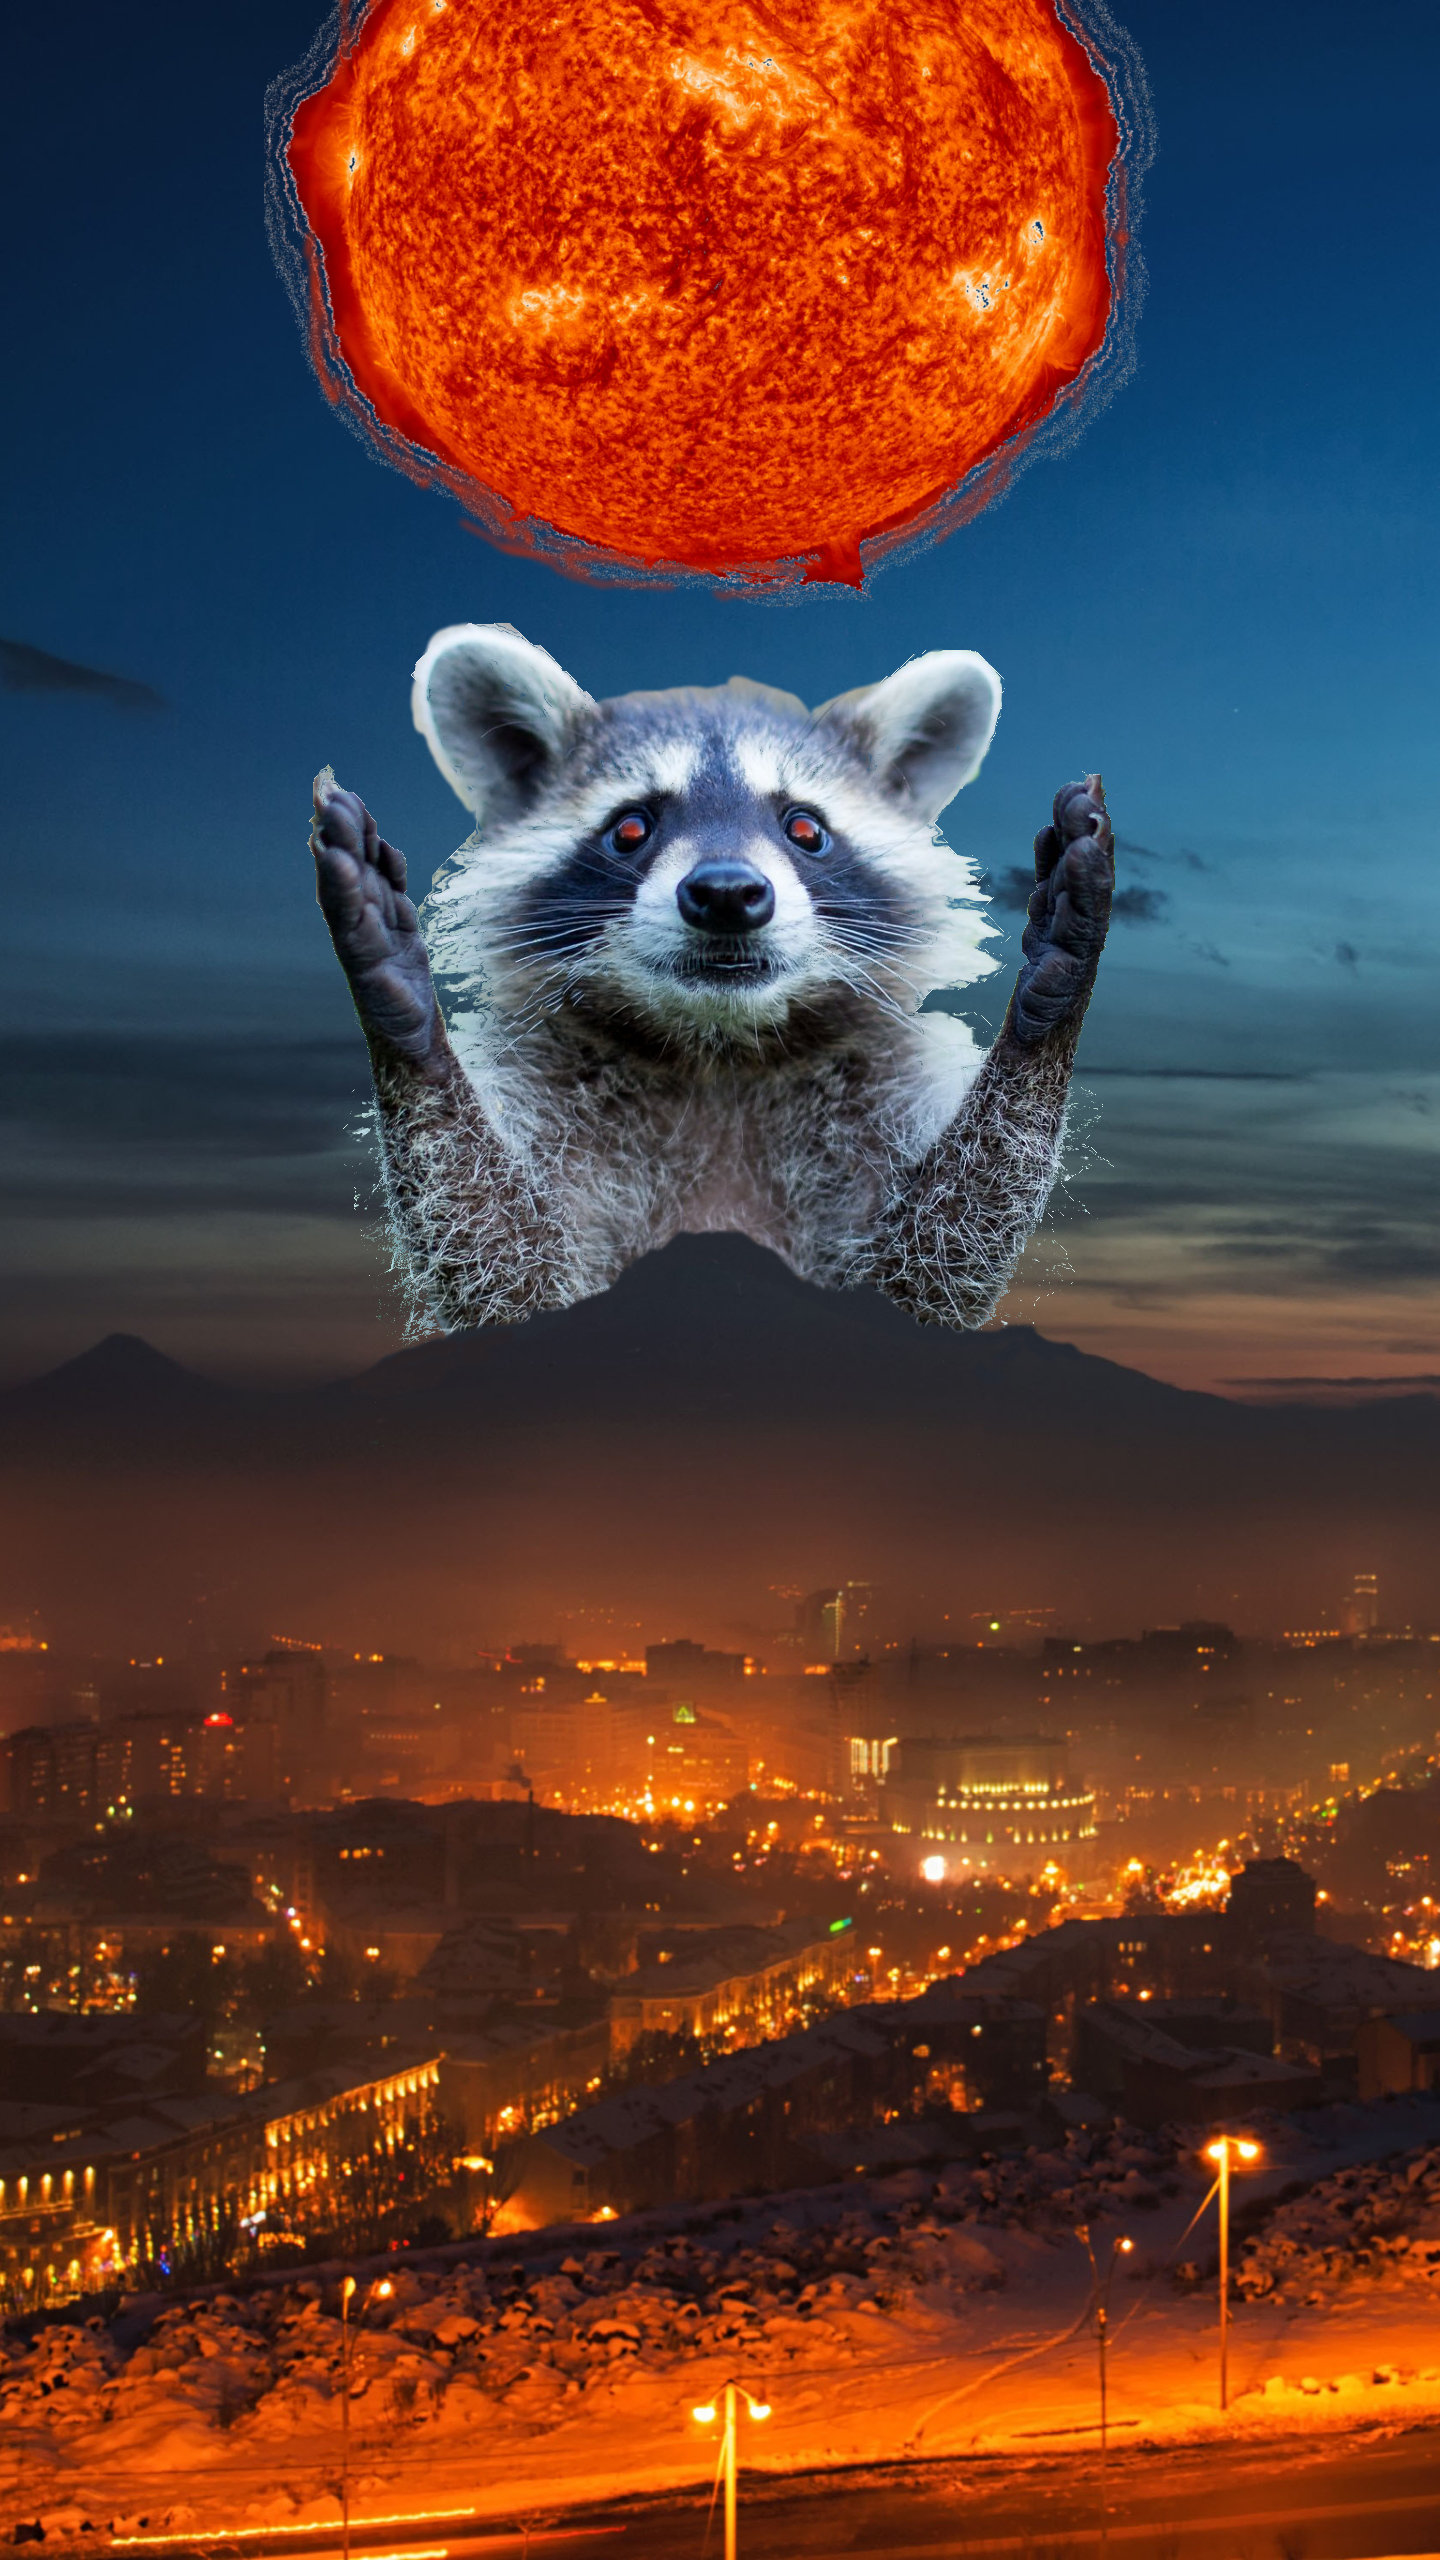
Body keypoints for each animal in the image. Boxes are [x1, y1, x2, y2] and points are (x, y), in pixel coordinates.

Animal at [310, 623, 1113, 1332]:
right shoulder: (546, 1076)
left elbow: (924, 1269)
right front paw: (410, 1022)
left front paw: (1044, 1007)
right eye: (631, 827)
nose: (726, 893)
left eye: (805, 828)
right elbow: (511, 1267)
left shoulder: (881, 1081)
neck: (718, 1051)